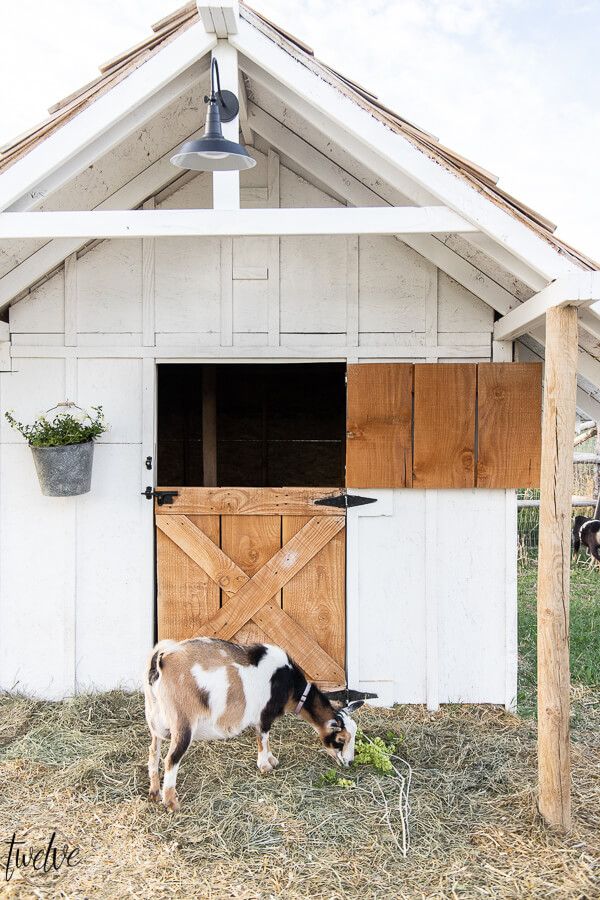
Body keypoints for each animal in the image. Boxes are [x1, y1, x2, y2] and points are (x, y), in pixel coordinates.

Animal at [143, 636, 364, 812]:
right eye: (341, 739)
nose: (350, 762)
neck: (291, 686)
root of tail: (161, 660)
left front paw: (272, 759)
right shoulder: (265, 715)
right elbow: (263, 738)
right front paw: (265, 765)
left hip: (156, 721)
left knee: (153, 752)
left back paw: (154, 792)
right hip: (182, 722)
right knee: (171, 759)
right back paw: (171, 803)